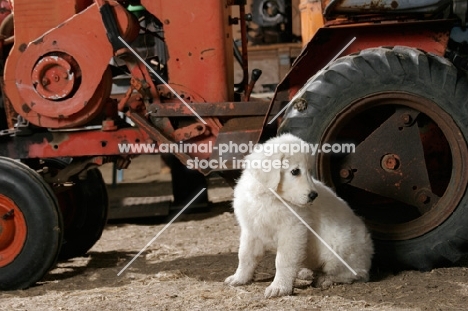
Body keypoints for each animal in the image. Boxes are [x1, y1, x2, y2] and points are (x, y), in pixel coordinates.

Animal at [225, 135, 374, 300]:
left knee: (356, 274)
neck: (271, 197)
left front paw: (279, 287)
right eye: (295, 171)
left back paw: (325, 279)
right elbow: (245, 256)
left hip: (337, 248)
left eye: (309, 171)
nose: (314, 195)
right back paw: (305, 272)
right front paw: (239, 278)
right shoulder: (251, 230)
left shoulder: (293, 231)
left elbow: (283, 261)